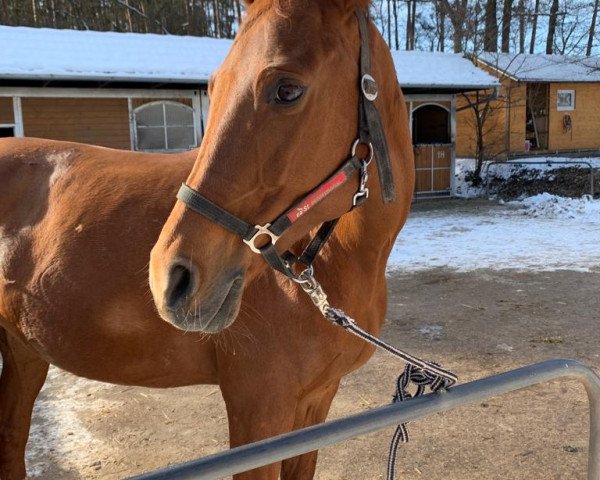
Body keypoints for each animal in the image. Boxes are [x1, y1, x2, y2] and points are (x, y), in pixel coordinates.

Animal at [0, 0, 412, 480]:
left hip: (24, 354)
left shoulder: (317, 401)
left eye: (288, 90)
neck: (329, 264)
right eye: (213, 88)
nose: (170, 278)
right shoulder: (259, 409)